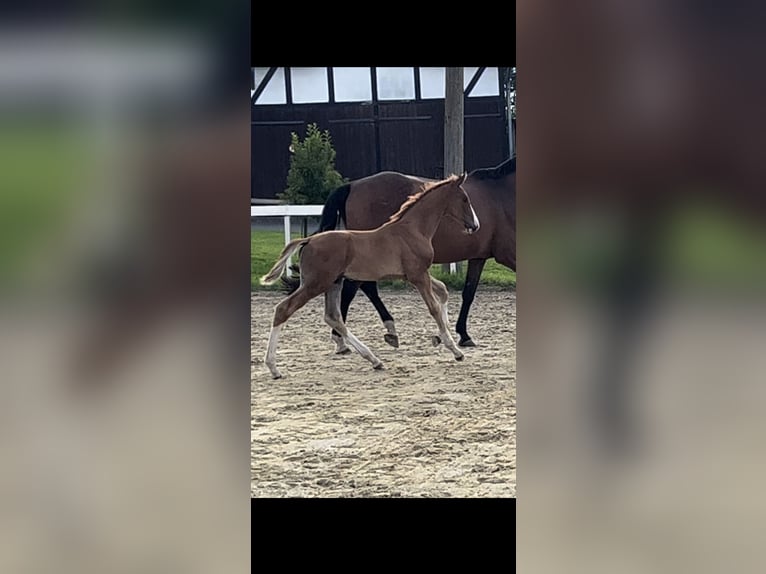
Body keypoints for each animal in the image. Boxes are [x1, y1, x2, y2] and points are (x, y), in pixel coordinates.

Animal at [264, 176, 480, 382]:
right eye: (464, 199)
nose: (475, 225)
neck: (412, 230)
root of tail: (308, 240)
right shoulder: (418, 276)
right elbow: (434, 307)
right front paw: (455, 350)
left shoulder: (414, 275)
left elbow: (443, 290)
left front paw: (441, 337)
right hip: (316, 283)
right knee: (284, 309)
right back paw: (273, 368)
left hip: (333, 282)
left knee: (333, 317)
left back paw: (374, 360)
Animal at [284, 155, 516, 352]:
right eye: (465, 200)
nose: (475, 225)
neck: (503, 194)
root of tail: (352, 185)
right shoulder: (508, 254)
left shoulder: (479, 257)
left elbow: (468, 293)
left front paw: (462, 334)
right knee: (355, 289)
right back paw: (345, 338)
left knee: (365, 288)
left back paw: (383, 331)